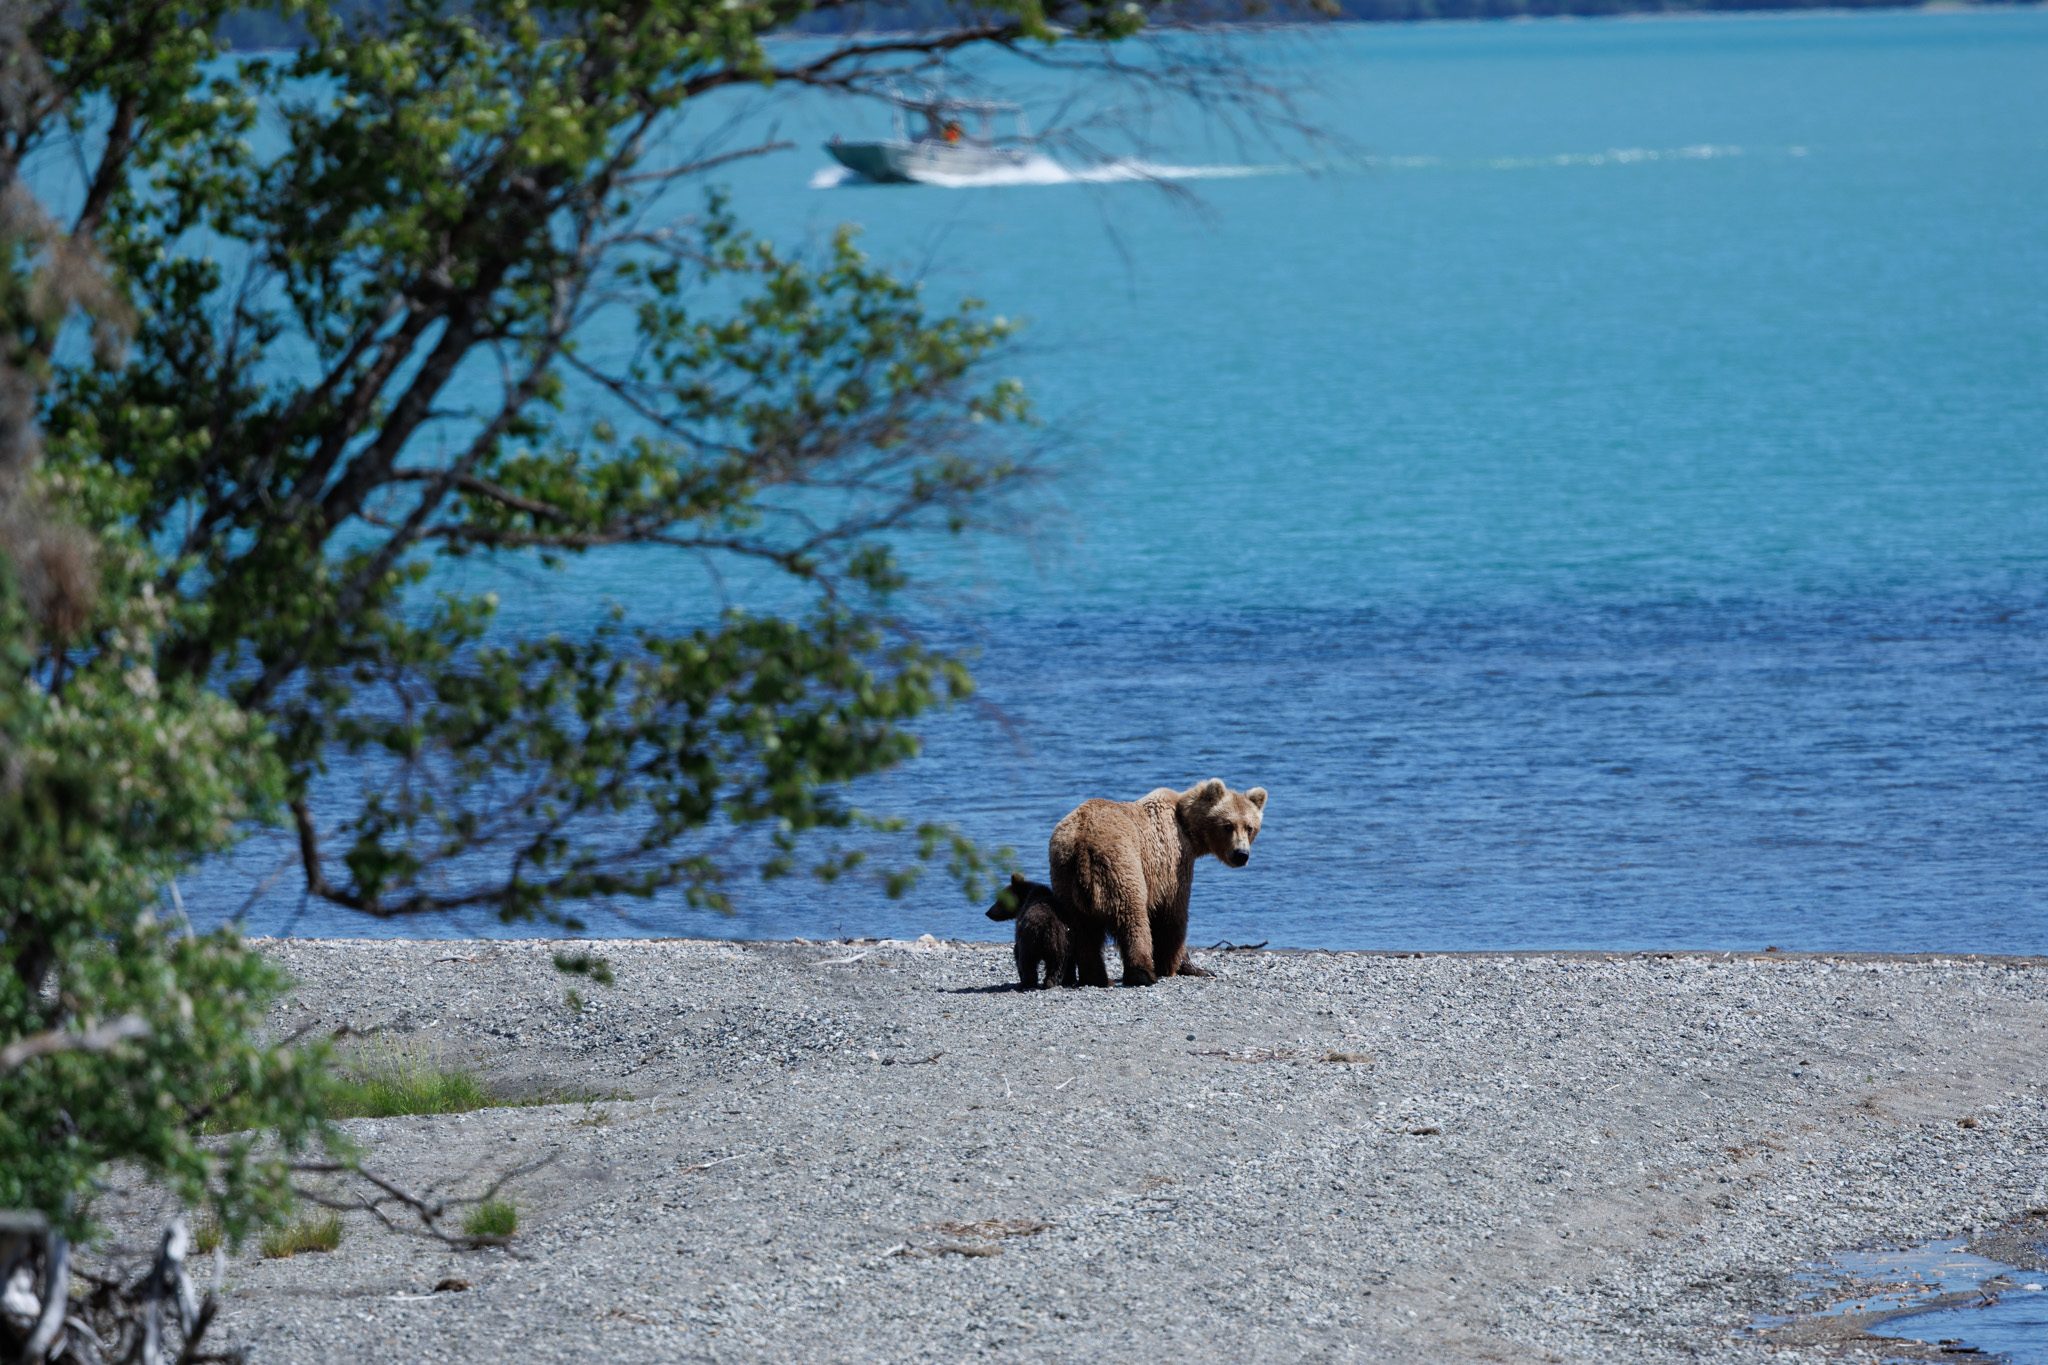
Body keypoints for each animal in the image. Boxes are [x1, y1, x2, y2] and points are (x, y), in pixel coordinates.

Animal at [1048, 778, 1267, 987]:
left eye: (1249, 827)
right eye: (1228, 825)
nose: (1241, 854)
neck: (1188, 830)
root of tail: (1082, 842)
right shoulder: (1172, 862)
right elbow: (1172, 914)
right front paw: (1179, 966)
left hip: (1064, 875)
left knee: (1082, 930)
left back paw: (1096, 977)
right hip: (1120, 863)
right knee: (1132, 916)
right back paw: (1143, 974)